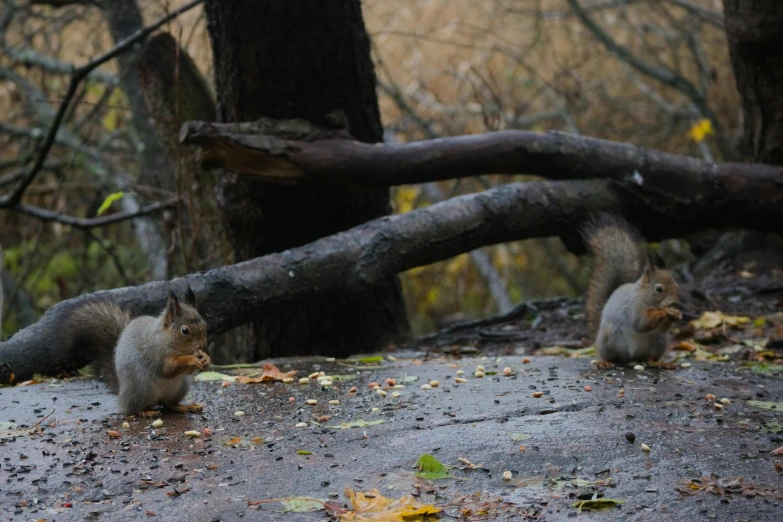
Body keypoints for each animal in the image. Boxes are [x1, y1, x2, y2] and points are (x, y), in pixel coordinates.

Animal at [63, 284, 211, 414]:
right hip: (142, 387)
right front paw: (191, 359)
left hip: (180, 387)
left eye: (204, 324)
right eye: (185, 330)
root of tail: (122, 394)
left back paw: (184, 406)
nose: (202, 345)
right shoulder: (154, 352)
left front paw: (205, 358)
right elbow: (166, 368)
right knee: (137, 409)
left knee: (168, 404)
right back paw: (146, 412)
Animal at [580, 211, 684, 366]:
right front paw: (665, 312)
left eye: (676, 286)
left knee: (650, 357)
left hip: (658, 341)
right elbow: (641, 322)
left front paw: (677, 314)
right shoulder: (634, 307)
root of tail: (632, 356)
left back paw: (658, 363)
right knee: (609, 355)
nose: (674, 303)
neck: (646, 297)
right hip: (608, 338)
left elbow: (661, 327)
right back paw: (605, 362)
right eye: (659, 289)